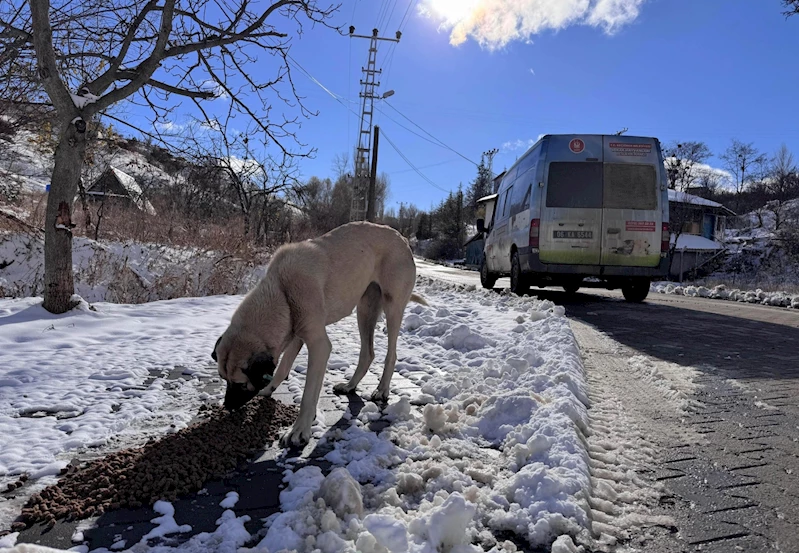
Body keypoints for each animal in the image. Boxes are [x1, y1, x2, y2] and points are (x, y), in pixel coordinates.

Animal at [211, 220, 424, 444]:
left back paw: (382, 389)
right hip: (365, 309)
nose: (227, 406)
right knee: (368, 353)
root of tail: (402, 239)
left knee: (391, 354)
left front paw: (298, 430)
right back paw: (350, 386)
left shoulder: (318, 345)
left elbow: (308, 394)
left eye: (241, 385)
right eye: (223, 379)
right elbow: (283, 367)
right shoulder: (296, 333)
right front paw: (269, 389)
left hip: (392, 308)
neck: (281, 290)